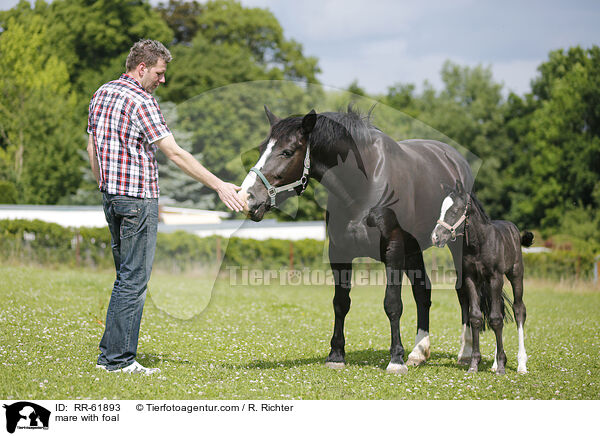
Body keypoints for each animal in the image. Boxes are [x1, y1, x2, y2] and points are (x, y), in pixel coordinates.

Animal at [428, 181, 532, 374]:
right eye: (441, 209)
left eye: (455, 210)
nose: (435, 237)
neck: (479, 244)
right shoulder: (471, 278)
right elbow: (476, 317)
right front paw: (474, 364)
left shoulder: (495, 277)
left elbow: (496, 319)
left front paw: (501, 367)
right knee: (498, 308)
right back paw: (495, 363)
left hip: (515, 274)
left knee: (518, 309)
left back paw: (521, 364)